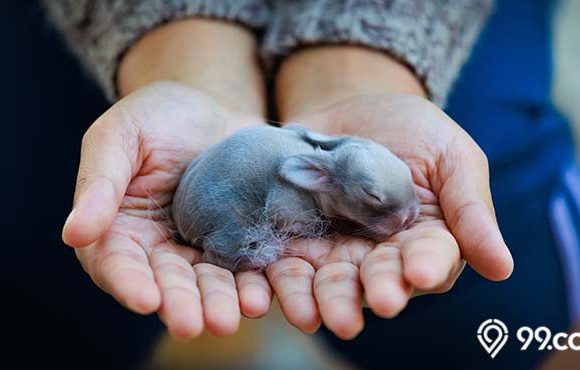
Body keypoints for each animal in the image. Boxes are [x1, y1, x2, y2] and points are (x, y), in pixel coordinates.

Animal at [170, 123, 420, 270]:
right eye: (373, 195)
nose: (409, 217)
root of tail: (182, 222)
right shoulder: (287, 203)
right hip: (230, 220)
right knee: (214, 254)